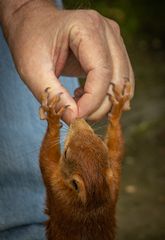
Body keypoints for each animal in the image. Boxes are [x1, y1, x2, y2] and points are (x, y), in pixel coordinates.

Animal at [38, 81, 130, 239]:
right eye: (99, 141)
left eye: (66, 153)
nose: (77, 119)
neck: (93, 202)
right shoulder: (115, 178)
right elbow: (116, 148)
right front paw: (118, 106)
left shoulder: (56, 189)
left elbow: (45, 158)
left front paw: (52, 117)